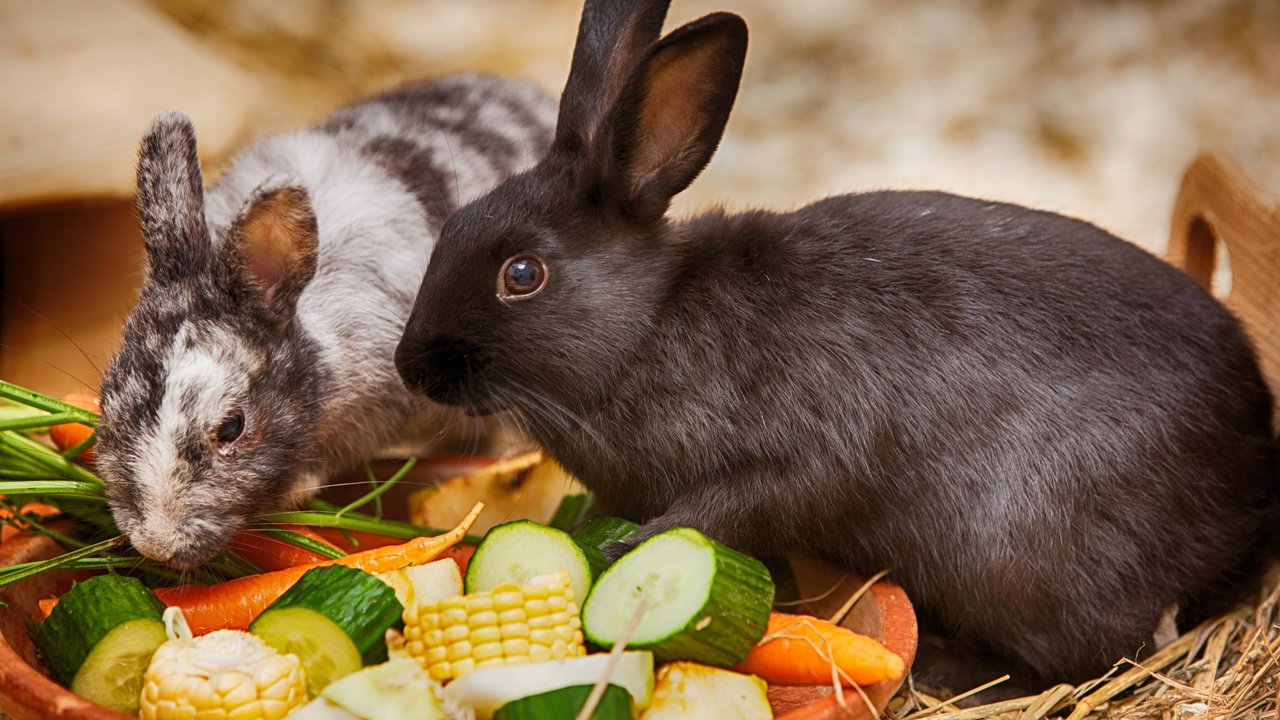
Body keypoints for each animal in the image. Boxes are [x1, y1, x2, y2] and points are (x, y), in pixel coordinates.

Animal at [394, 0, 1274, 691]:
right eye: (454, 224)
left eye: (522, 273)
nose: (413, 368)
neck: (646, 324)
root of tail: (1249, 477)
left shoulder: (792, 463)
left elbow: (727, 508)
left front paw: (631, 547)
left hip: (1028, 564)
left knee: (1094, 655)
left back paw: (953, 670)